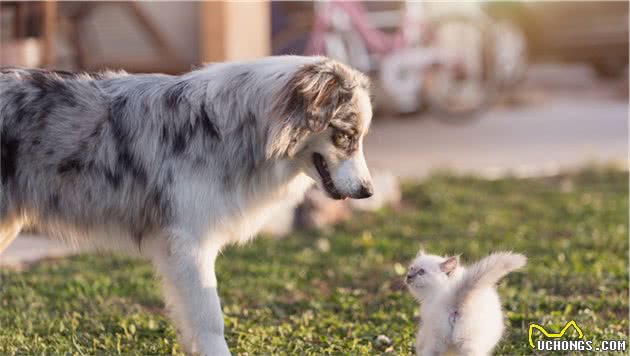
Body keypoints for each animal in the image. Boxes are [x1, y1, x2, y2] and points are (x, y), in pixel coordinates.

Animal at [0, 55, 376, 354]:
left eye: (360, 137)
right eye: (345, 136)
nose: (368, 192)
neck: (233, 130)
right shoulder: (190, 243)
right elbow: (210, 319)